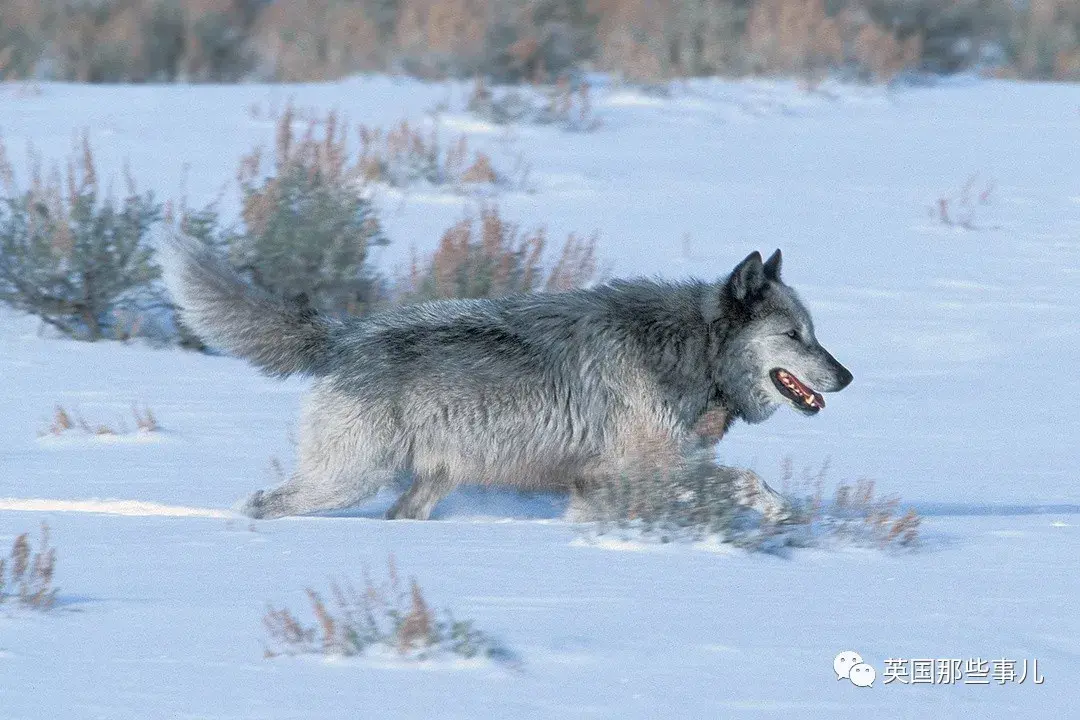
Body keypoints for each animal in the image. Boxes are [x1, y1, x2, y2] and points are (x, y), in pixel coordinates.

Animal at [162, 239, 851, 520]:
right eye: (795, 336)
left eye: (815, 332)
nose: (846, 375)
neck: (690, 354)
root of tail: (346, 333)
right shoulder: (635, 469)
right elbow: (747, 482)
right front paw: (780, 514)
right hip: (350, 479)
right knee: (261, 504)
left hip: (422, 486)